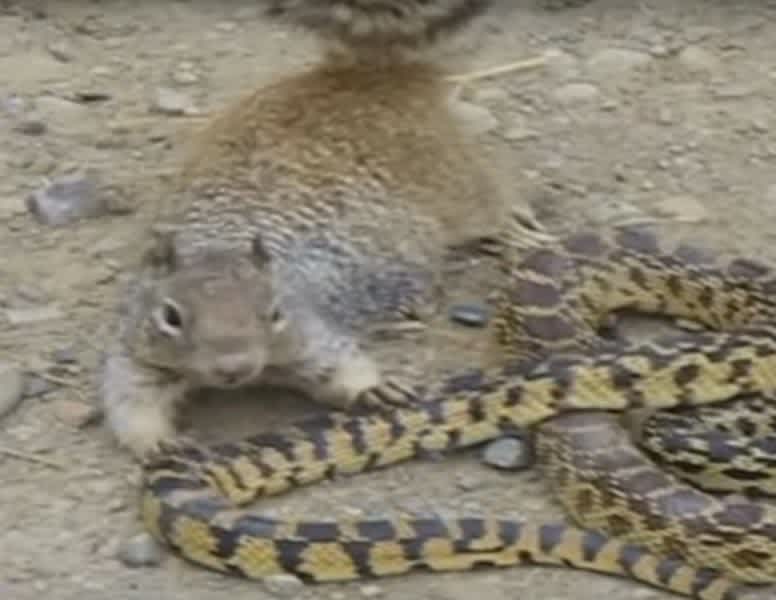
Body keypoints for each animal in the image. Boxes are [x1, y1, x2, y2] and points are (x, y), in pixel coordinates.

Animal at [100, 0, 549, 459]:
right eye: (170, 316)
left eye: (275, 311)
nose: (233, 369)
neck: (218, 244)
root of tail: (372, 79)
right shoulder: (135, 351)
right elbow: (129, 395)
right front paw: (156, 440)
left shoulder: (313, 332)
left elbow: (341, 364)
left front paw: (373, 390)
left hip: (459, 183)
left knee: (494, 198)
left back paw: (516, 227)